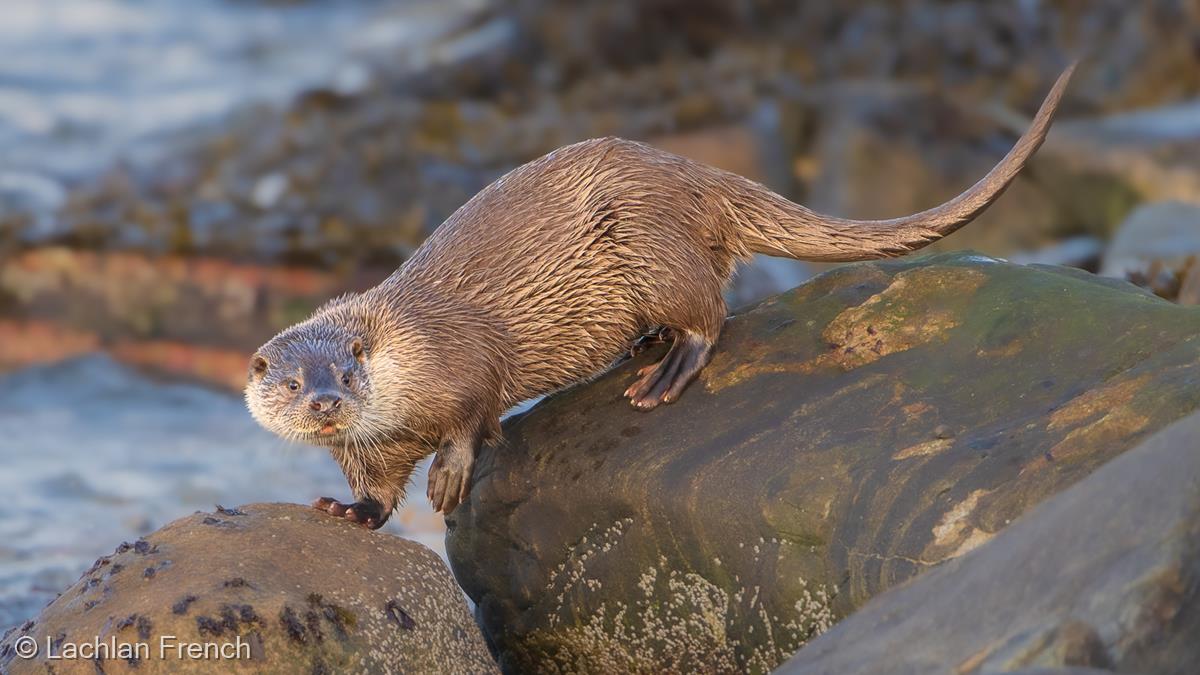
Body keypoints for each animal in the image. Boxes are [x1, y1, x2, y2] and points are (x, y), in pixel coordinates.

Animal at [246, 65, 1074, 527]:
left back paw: (666, 369)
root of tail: (694, 175)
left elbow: (473, 415)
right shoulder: (371, 448)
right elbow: (378, 489)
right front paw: (349, 508)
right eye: (290, 384)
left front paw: (449, 477)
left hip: (651, 243)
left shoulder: (463, 359)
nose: (326, 401)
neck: (407, 362)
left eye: (346, 370)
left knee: (711, 311)